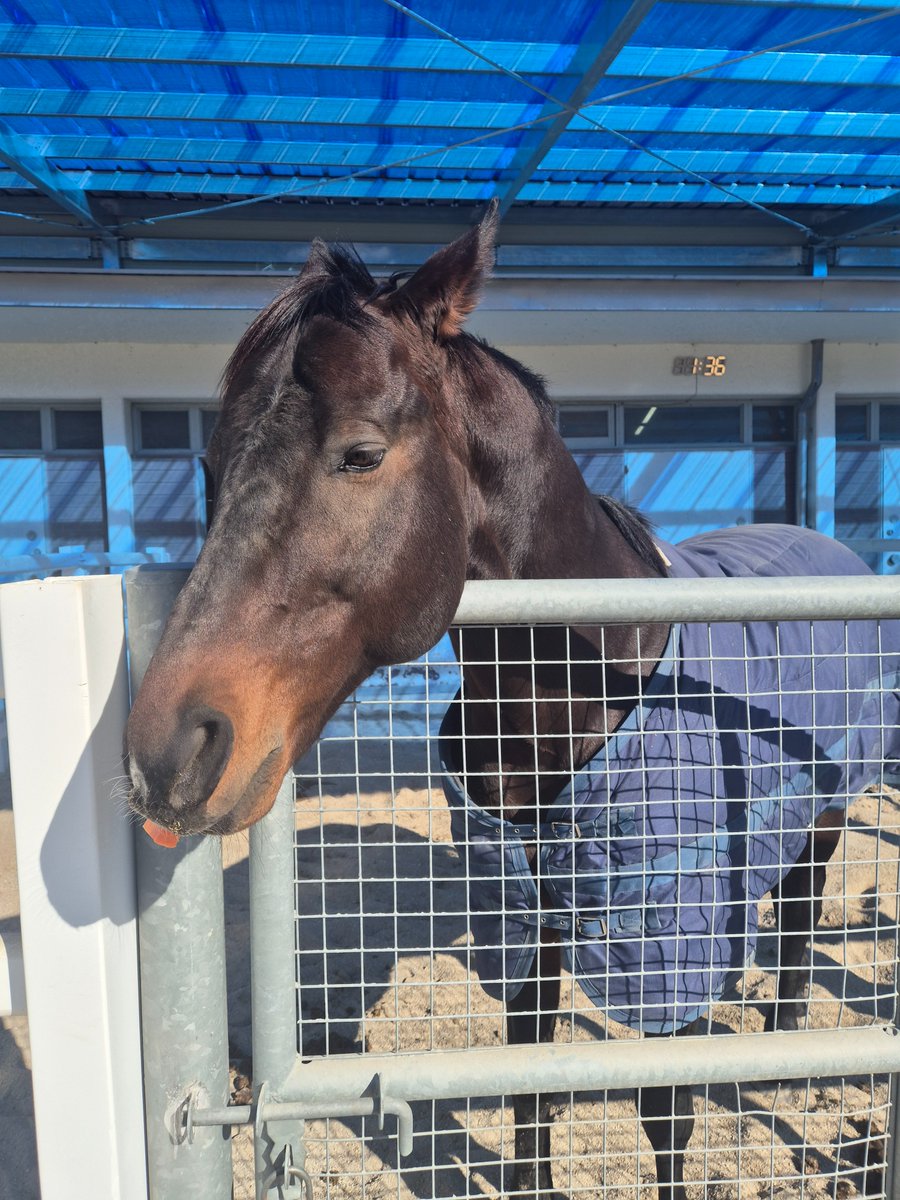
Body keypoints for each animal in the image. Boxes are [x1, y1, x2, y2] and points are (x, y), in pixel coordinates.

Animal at [126, 204, 900, 1200]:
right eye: (210, 464)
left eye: (361, 454)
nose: (167, 752)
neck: (587, 683)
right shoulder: (526, 915)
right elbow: (529, 1068)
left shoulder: (663, 932)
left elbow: (667, 1110)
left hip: (826, 817)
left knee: (801, 924)